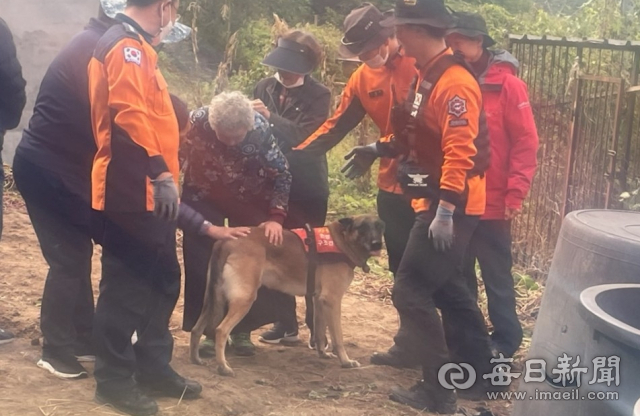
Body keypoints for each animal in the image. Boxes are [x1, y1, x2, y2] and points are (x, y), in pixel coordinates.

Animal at [188, 214, 382, 376]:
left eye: (380, 226)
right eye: (362, 227)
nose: (377, 244)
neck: (341, 241)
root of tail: (226, 241)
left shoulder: (319, 301)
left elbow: (320, 331)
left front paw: (322, 353)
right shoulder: (332, 301)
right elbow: (338, 337)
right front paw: (346, 361)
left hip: (211, 300)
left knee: (196, 329)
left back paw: (196, 359)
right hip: (245, 299)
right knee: (221, 330)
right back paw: (223, 367)